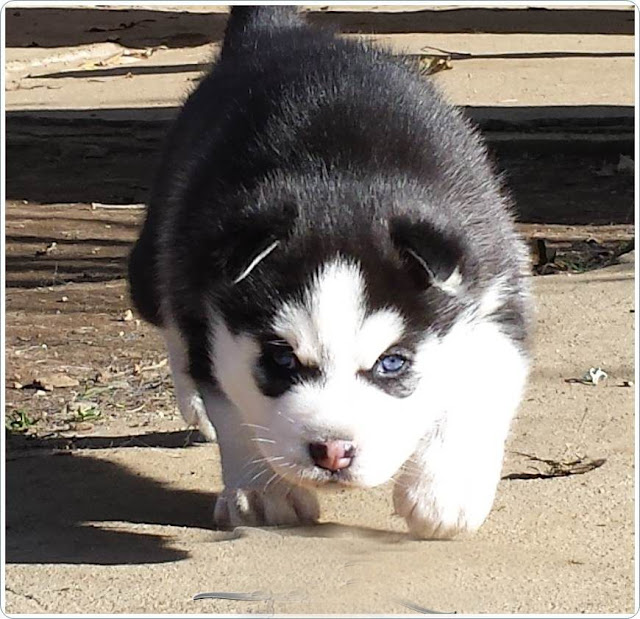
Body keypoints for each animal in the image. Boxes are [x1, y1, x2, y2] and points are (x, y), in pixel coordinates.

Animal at [129, 6, 528, 536]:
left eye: (392, 363)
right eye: (281, 360)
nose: (333, 452)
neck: (341, 182)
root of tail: (277, 33)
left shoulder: (491, 281)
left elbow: (481, 379)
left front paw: (444, 493)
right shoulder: (201, 288)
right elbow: (232, 407)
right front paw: (263, 490)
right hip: (159, 251)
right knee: (170, 322)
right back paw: (192, 404)